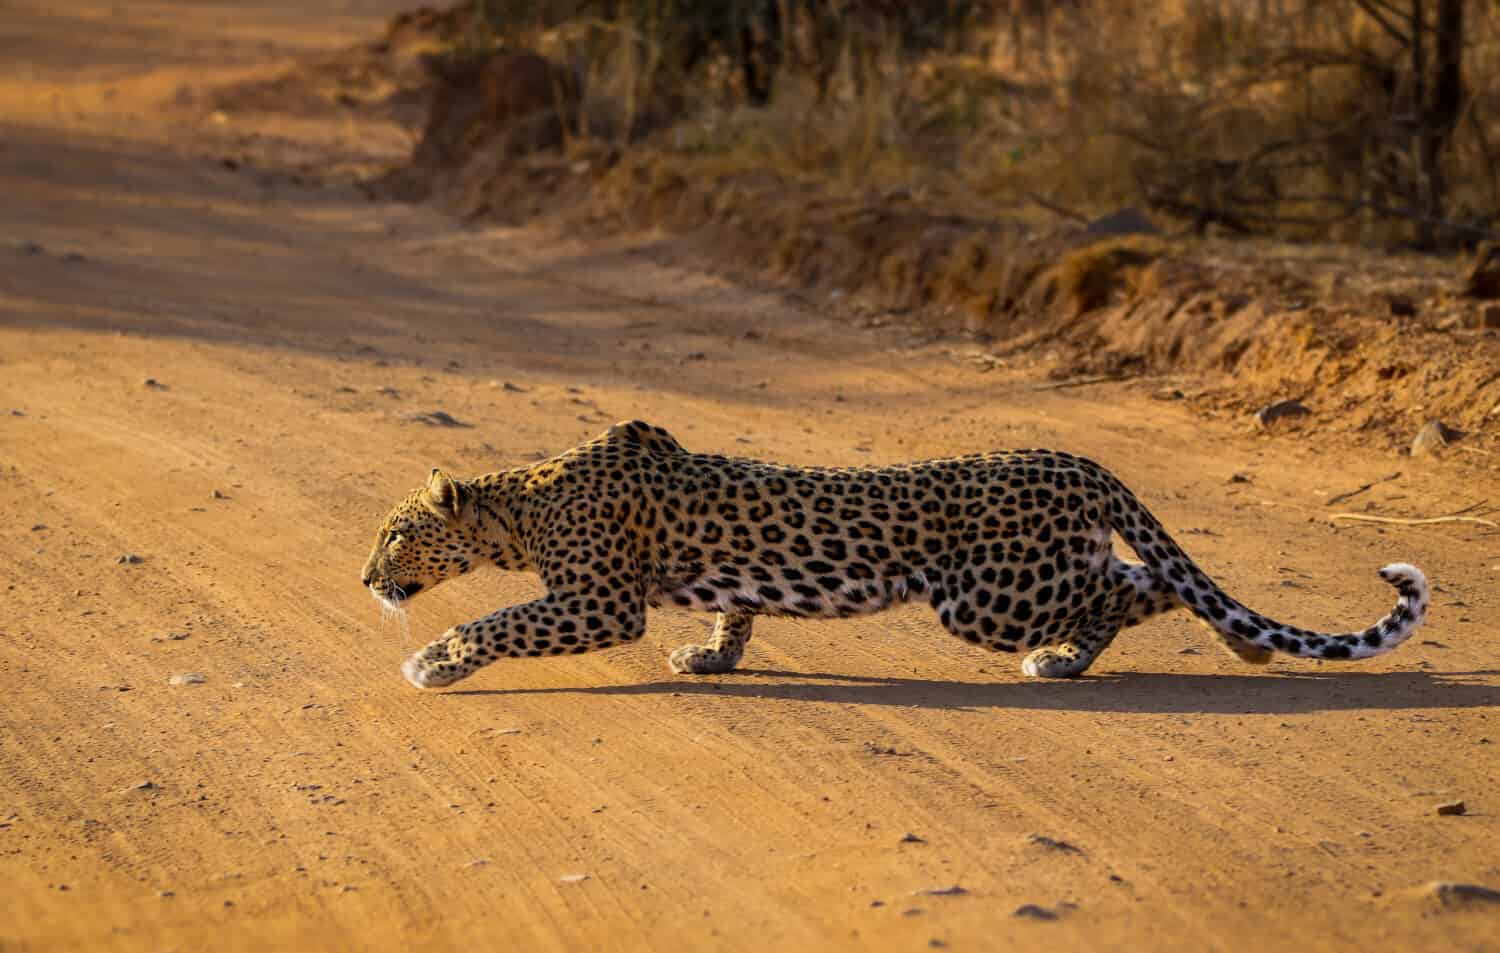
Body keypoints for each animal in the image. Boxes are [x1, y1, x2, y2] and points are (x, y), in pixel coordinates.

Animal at [360, 420, 1428, 690]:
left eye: (392, 533)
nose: (366, 577)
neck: (521, 504)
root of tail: (1076, 458)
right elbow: (736, 608)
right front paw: (712, 654)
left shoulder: (596, 601)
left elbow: (498, 618)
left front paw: (432, 662)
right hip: (1019, 580)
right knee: (1143, 579)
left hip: (990, 595)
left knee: (1129, 586)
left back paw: (1077, 657)